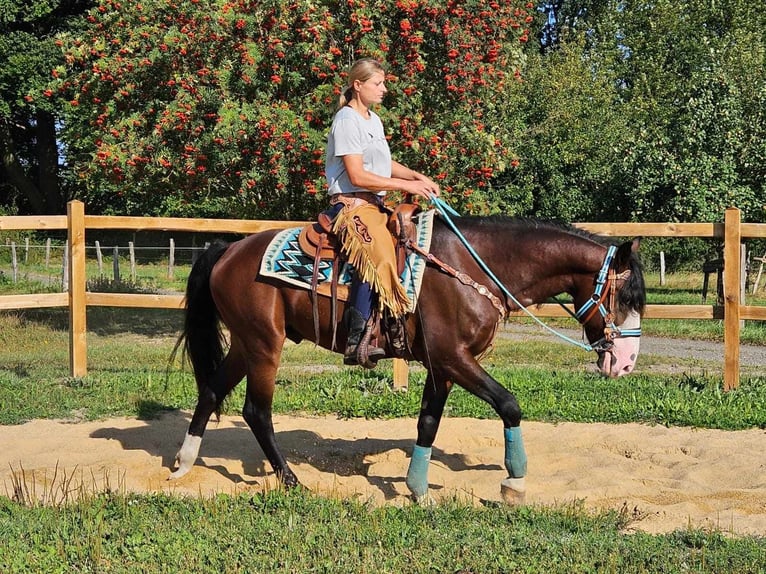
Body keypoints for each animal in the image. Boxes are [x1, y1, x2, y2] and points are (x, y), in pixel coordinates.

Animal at [170, 214, 648, 502]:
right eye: (625, 297)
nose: (626, 363)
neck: (472, 269)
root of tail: (228, 251)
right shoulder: (454, 358)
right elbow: (509, 404)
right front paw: (513, 481)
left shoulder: (443, 367)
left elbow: (428, 423)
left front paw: (418, 489)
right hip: (264, 345)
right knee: (256, 411)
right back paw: (291, 480)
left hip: (245, 344)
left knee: (210, 392)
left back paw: (183, 465)